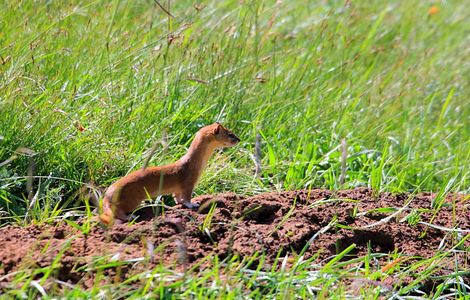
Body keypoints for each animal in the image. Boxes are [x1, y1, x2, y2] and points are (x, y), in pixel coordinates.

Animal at [98, 123, 239, 225]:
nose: (239, 139)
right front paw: (193, 204)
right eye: (230, 134)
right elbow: (186, 197)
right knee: (117, 212)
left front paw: (180, 203)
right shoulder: (189, 182)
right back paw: (130, 216)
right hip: (131, 199)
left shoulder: (178, 188)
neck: (198, 165)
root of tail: (107, 194)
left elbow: (177, 197)